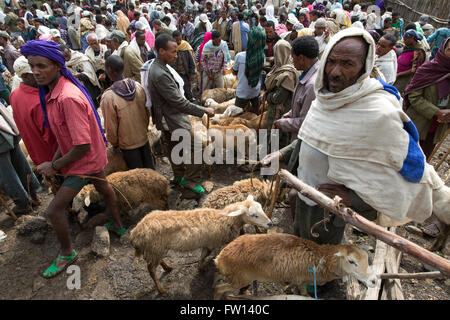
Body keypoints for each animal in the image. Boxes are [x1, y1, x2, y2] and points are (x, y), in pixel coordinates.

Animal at [128, 192, 272, 296]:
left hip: (156, 249)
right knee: (151, 270)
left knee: (157, 262)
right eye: (253, 215)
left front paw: (201, 267)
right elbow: (212, 256)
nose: (270, 223)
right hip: (153, 248)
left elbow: (202, 255)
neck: (225, 219)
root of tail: (134, 233)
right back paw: (161, 289)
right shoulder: (215, 243)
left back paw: (167, 267)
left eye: (261, 208)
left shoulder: (207, 242)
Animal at [213, 231, 378, 298]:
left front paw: (287, 288)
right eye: (351, 261)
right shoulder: (303, 280)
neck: (319, 258)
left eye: (367, 259)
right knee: (218, 288)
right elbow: (304, 294)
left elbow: (292, 284)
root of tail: (220, 258)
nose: (374, 281)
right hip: (239, 279)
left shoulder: (296, 276)